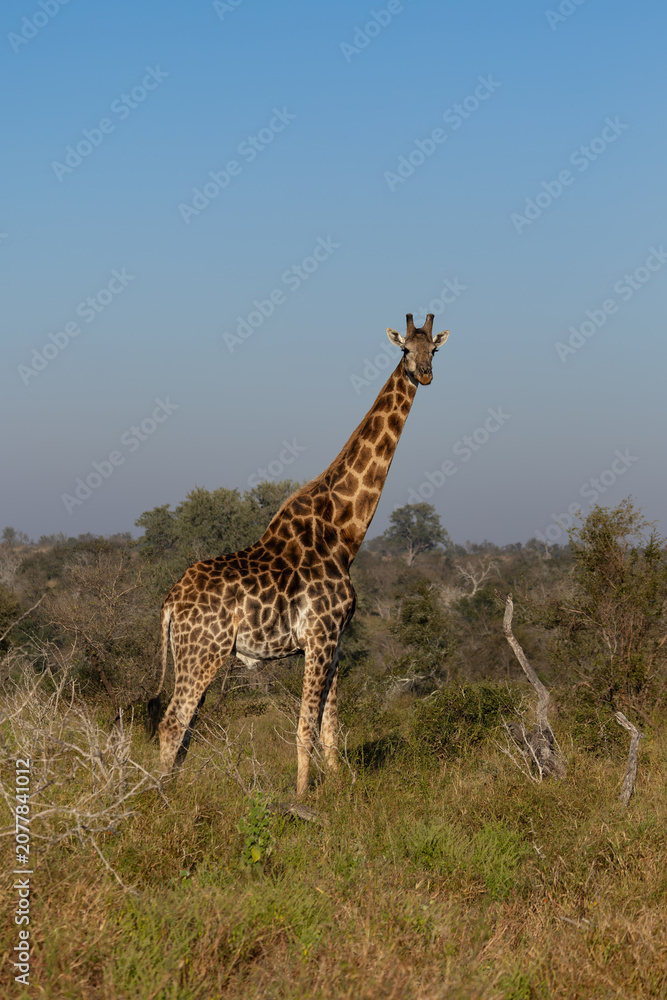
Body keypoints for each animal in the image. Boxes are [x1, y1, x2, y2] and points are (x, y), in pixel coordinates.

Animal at [150, 313, 450, 795]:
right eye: (405, 348)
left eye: (434, 350)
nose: (424, 374)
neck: (344, 534)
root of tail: (170, 602)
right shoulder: (320, 636)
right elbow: (306, 724)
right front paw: (302, 795)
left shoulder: (336, 640)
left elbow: (330, 725)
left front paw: (335, 790)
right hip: (203, 652)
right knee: (173, 721)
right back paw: (160, 798)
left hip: (192, 654)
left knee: (186, 725)